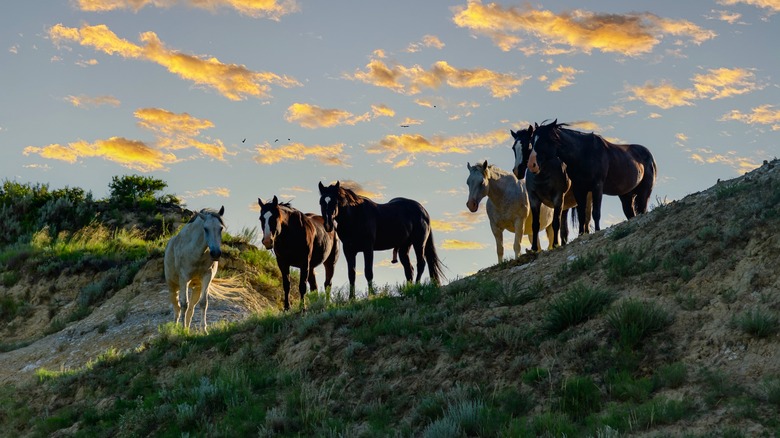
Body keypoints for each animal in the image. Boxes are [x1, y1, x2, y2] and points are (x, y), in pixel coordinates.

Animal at [314, 181, 442, 298]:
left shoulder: (368, 248)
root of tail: (423, 211)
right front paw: (351, 298)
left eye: (335, 202)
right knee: (409, 269)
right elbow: (351, 274)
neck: (355, 216)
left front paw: (371, 295)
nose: (328, 225)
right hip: (404, 247)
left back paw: (416, 287)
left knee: (421, 264)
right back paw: (409, 290)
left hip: (419, 243)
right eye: (320, 202)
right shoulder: (349, 250)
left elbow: (368, 272)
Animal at [532, 118, 660, 234]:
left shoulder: (597, 187)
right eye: (533, 140)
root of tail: (650, 157)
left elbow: (596, 213)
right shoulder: (579, 189)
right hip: (626, 196)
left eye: (544, 140)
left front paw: (597, 230)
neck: (583, 153)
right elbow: (582, 214)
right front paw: (581, 234)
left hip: (644, 193)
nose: (532, 164)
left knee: (642, 209)